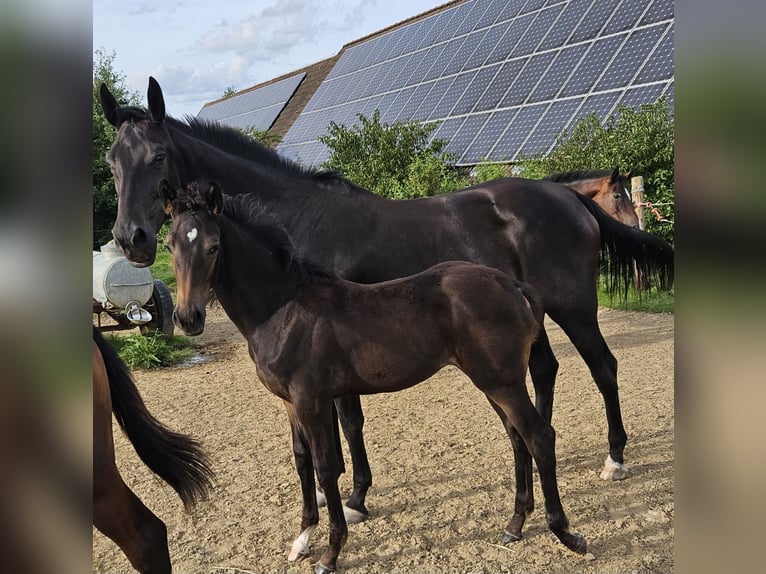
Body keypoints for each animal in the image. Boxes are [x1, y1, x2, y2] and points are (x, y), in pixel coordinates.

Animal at [164, 183, 588, 574]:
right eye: (169, 245)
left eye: (213, 247)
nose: (188, 318)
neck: (284, 309)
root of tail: (511, 284)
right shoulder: (290, 402)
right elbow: (302, 461)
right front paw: (301, 540)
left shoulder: (312, 399)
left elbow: (325, 467)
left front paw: (330, 554)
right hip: (494, 382)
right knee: (518, 438)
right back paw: (515, 524)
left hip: (502, 381)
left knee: (539, 436)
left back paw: (567, 534)